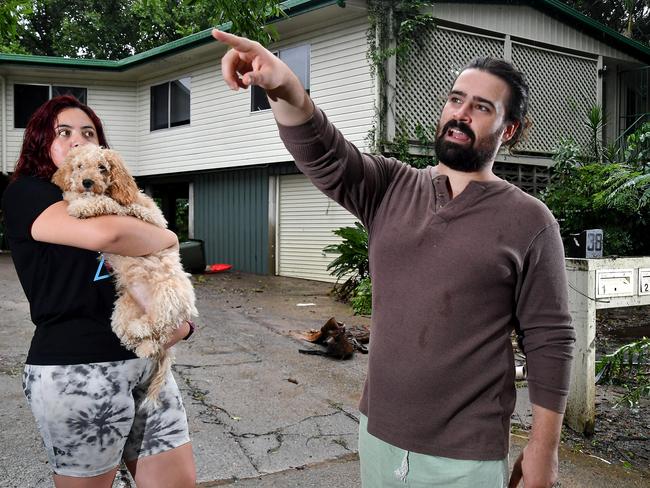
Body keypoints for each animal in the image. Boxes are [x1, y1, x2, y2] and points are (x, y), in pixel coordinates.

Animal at [53, 144, 197, 404]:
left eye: (102, 167)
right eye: (79, 166)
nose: (87, 182)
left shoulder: (149, 216)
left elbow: (112, 205)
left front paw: (82, 205)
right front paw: (74, 195)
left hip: (167, 297)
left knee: (160, 329)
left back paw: (144, 333)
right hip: (122, 312)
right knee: (138, 337)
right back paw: (141, 341)